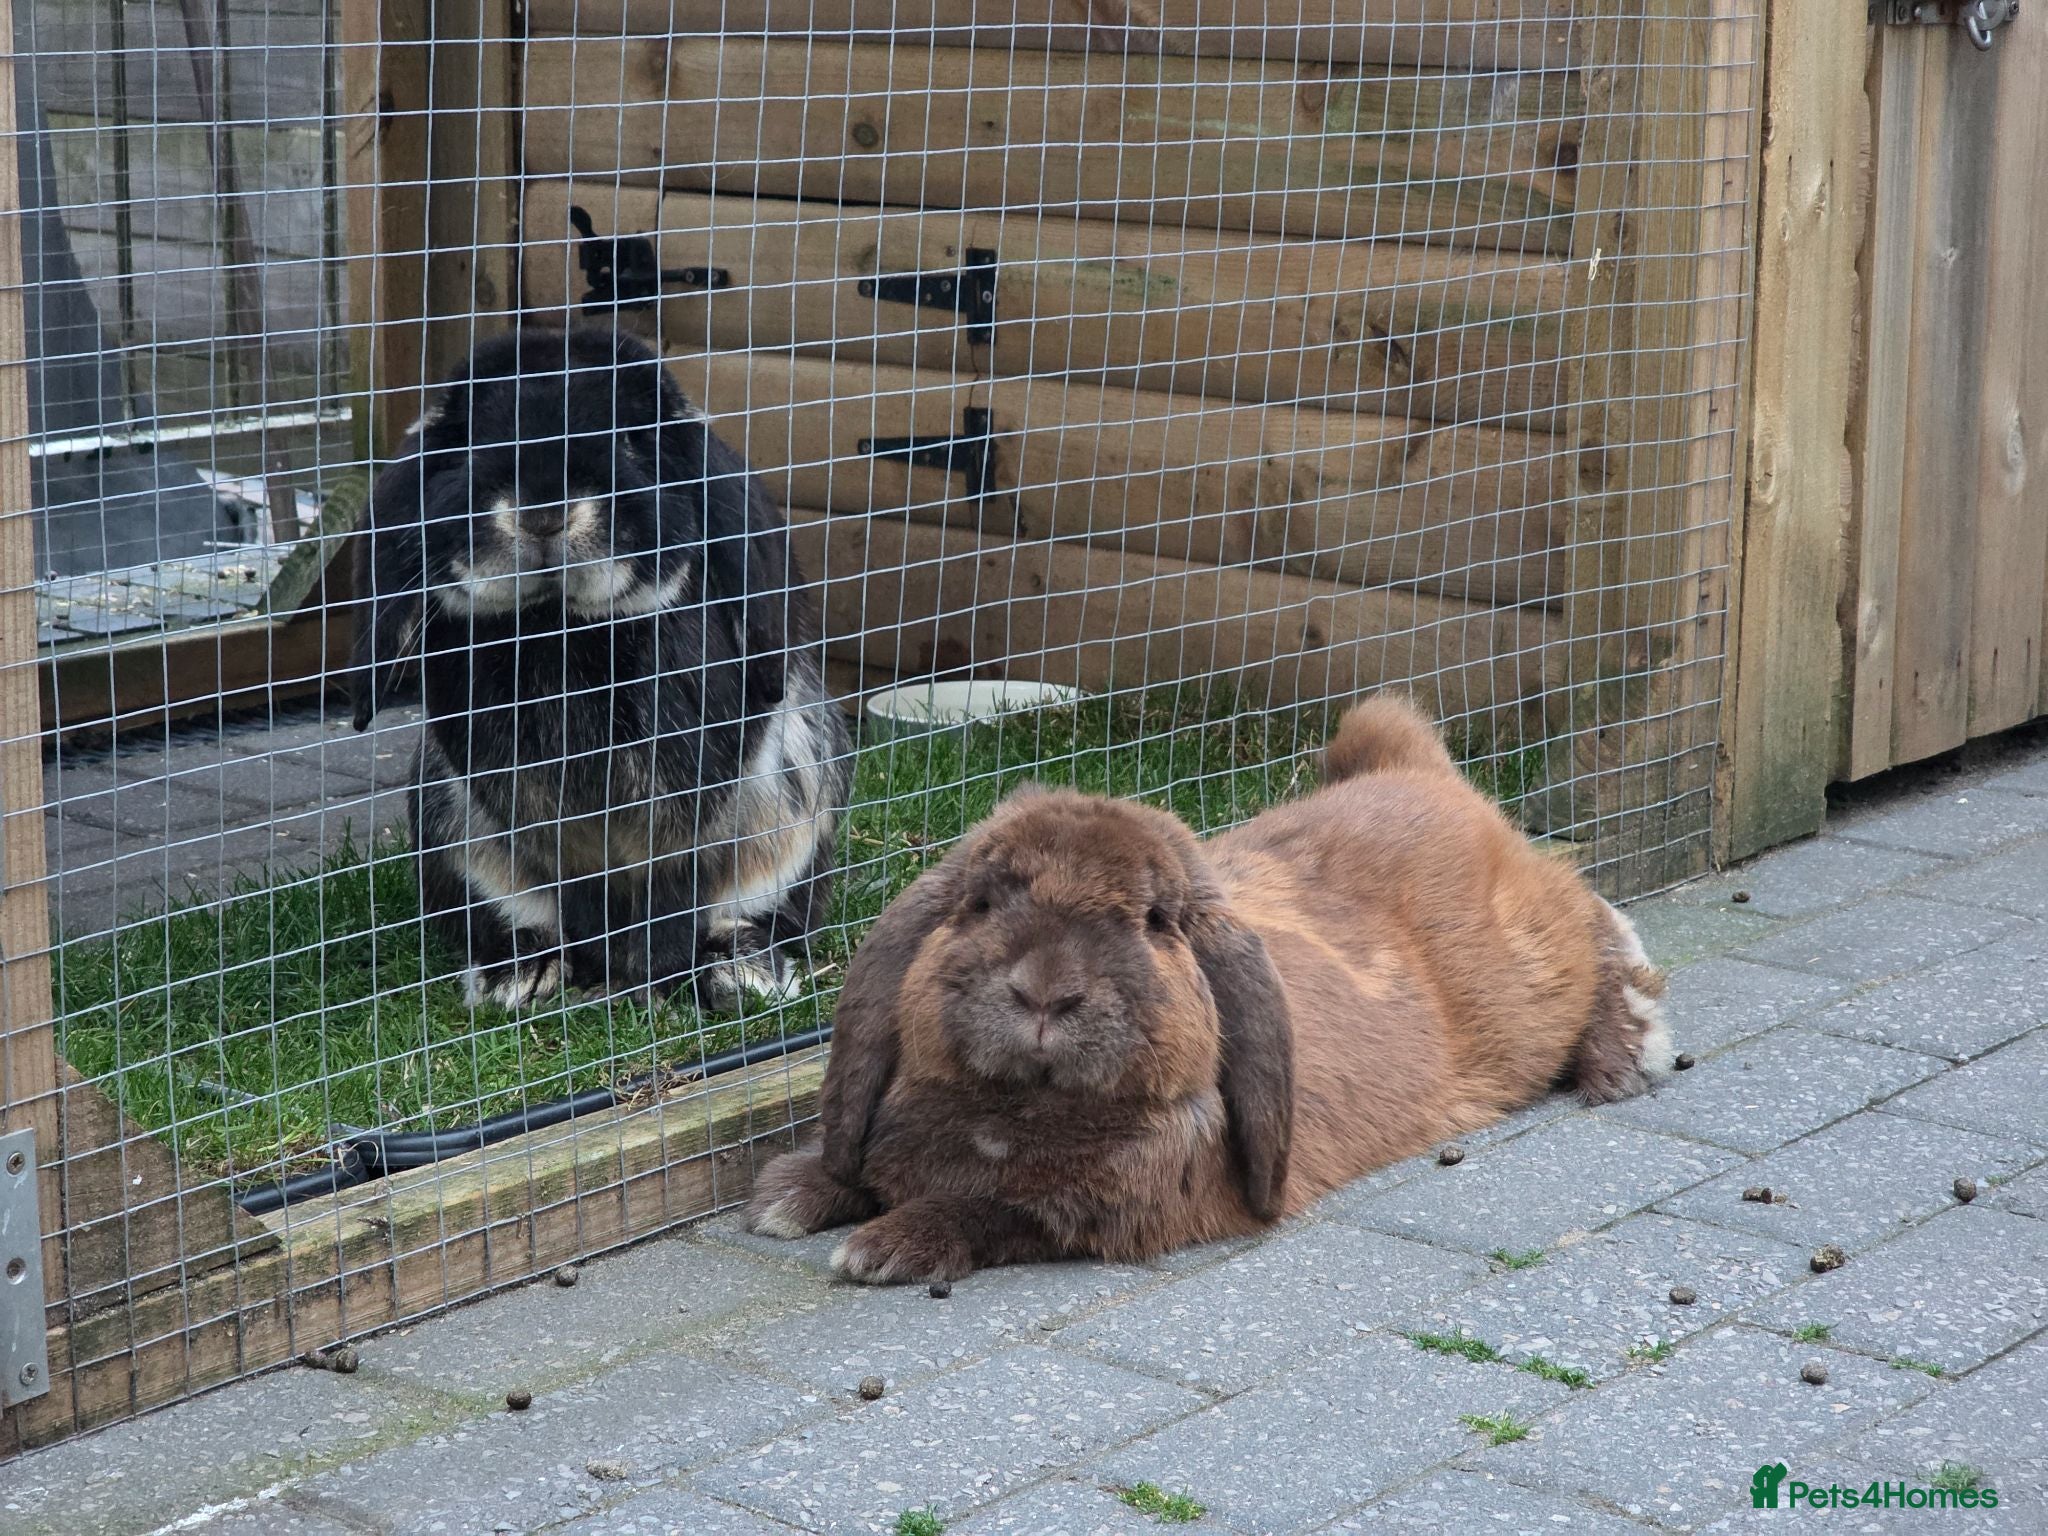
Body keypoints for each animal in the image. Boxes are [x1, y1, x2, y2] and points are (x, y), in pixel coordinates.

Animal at [348, 326, 851, 1013]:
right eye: (470, 443)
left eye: (630, 440)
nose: (542, 513)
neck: (558, 621)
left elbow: (670, 890)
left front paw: (658, 981)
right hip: (449, 821)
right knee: (518, 915)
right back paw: (523, 974)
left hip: (798, 804)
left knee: (759, 911)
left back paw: (738, 970)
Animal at [743, 692, 1673, 1283]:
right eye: (980, 902)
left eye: (1157, 921)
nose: (1045, 993)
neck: (1014, 1112)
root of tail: (1427, 776)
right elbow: (858, 1166)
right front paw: (789, 1196)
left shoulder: (1116, 1212)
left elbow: (995, 1213)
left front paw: (883, 1248)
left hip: (1535, 967)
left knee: (1597, 925)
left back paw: (1624, 1059)